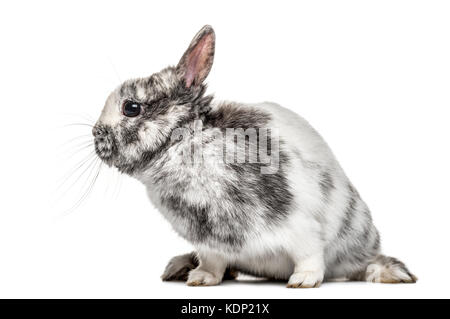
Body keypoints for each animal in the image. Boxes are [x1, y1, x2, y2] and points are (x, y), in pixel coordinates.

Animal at [92, 26, 418, 288]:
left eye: (131, 107)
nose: (96, 135)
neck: (187, 144)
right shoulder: (210, 244)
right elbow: (213, 263)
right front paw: (201, 279)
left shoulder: (300, 225)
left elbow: (310, 255)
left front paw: (304, 281)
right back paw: (181, 267)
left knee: (360, 264)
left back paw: (389, 273)